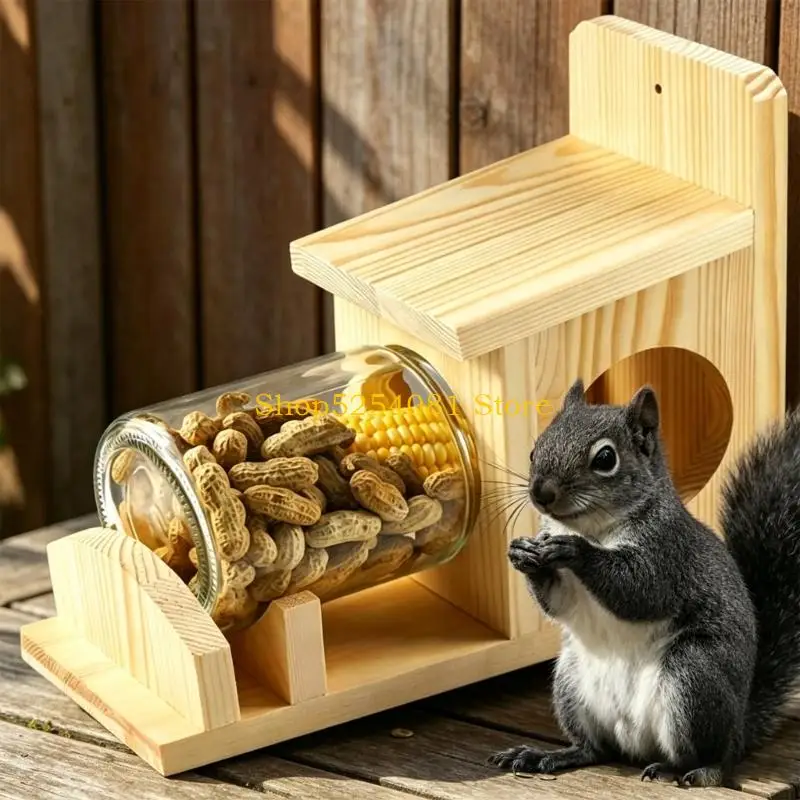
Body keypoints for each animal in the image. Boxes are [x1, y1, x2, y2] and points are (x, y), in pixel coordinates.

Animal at [487, 378, 800, 789]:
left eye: (605, 459)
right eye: (534, 449)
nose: (541, 493)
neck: (593, 527)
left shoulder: (667, 554)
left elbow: (641, 592)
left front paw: (575, 550)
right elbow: (559, 602)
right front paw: (522, 554)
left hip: (693, 679)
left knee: (715, 757)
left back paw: (693, 770)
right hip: (570, 683)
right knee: (595, 749)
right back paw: (549, 755)